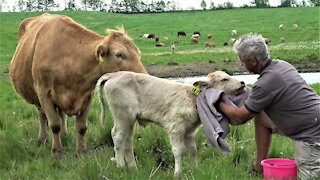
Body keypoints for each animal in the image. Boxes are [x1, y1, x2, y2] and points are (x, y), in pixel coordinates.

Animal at [9, 13, 148, 159]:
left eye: (137, 53)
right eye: (119, 54)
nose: (144, 77)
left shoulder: (87, 95)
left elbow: (81, 126)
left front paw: (81, 151)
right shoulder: (44, 93)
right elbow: (54, 124)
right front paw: (57, 152)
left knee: (61, 114)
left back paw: (65, 135)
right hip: (38, 96)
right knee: (42, 115)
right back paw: (42, 139)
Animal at [96, 70, 246, 177]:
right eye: (224, 79)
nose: (243, 83)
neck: (192, 98)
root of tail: (114, 74)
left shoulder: (189, 131)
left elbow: (193, 150)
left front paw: (195, 169)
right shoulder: (176, 128)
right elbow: (178, 151)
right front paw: (178, 173)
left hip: (129, 120)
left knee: (127, 141)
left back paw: (133, 169)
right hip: (122, 116)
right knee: (117, 137)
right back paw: (120, 167)